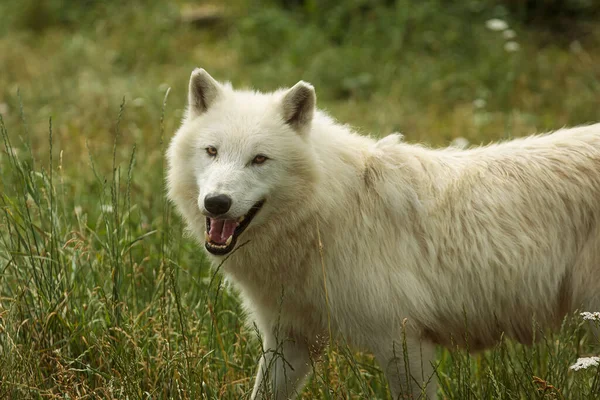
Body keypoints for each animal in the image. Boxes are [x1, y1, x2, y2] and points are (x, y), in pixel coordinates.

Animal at [166, 68, 600, 396]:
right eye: (212, 151)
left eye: (259, 159)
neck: (331, 212)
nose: (216, 203)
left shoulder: (403, 345)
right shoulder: (288, 341)